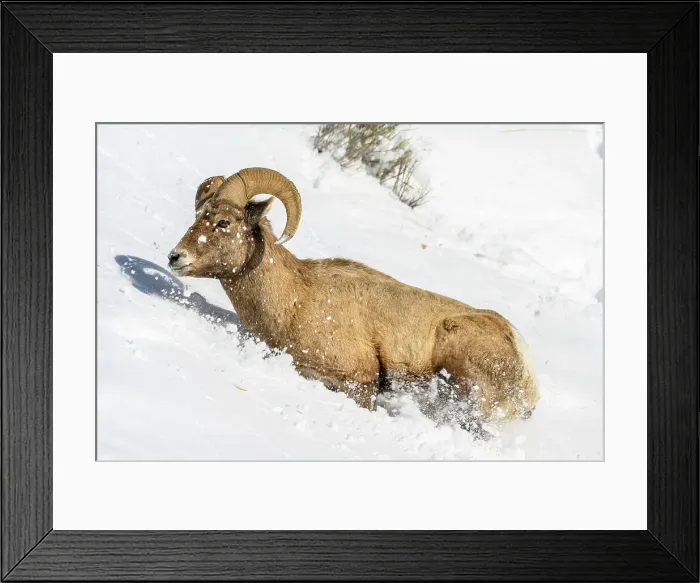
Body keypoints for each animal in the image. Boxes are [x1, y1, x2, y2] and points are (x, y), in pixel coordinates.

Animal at [169, 167, 539, 431]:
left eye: (223, 222)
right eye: (198, 216)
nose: (176, 258)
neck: (295, 301)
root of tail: (524, 367)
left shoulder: (357, 382)